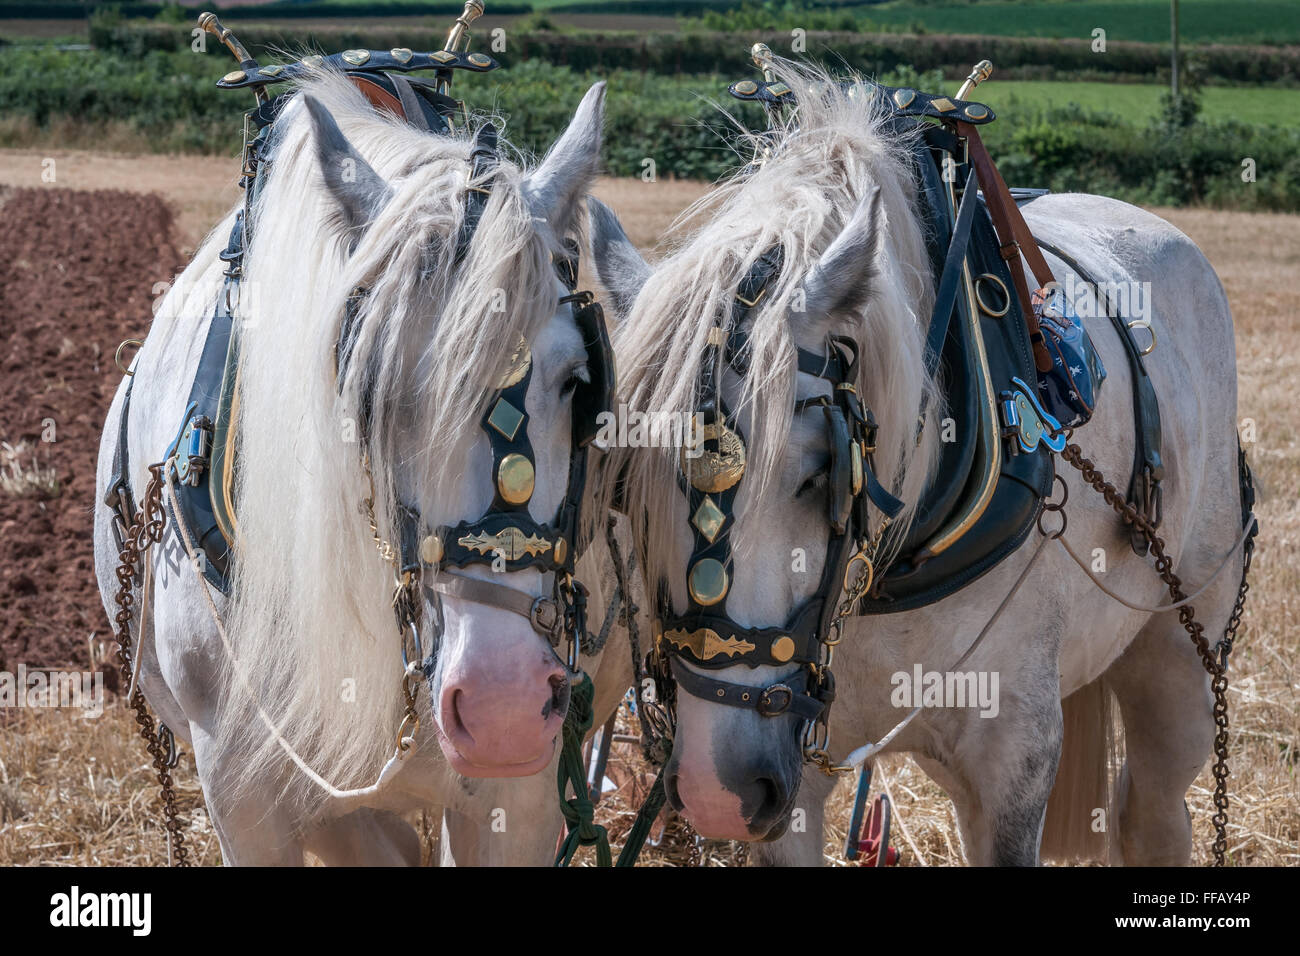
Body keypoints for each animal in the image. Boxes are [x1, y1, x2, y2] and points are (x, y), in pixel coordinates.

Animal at [590, 59, 1248, 868]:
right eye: (627, 489)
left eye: (820, 475)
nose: (720, 789)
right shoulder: (795, 773)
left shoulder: (1010, 769)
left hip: (1178, 656)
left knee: (1154, 810)